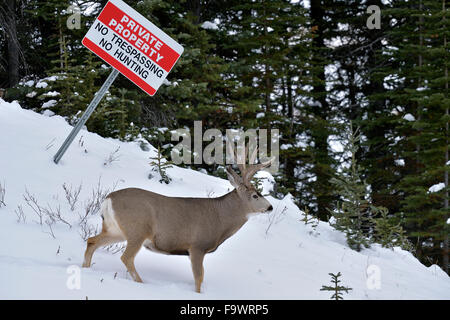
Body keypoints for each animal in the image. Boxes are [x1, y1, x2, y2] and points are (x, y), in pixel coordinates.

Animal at [82, 144, 276, 292]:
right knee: (126, 257)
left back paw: (85, 268)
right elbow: (199, 278)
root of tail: (108, 199)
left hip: (115, 229)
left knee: (92, 241)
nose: (270, 207)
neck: (221, 219)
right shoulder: (197, 246)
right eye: (255, 195)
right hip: (138, 229)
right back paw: (141, 283)